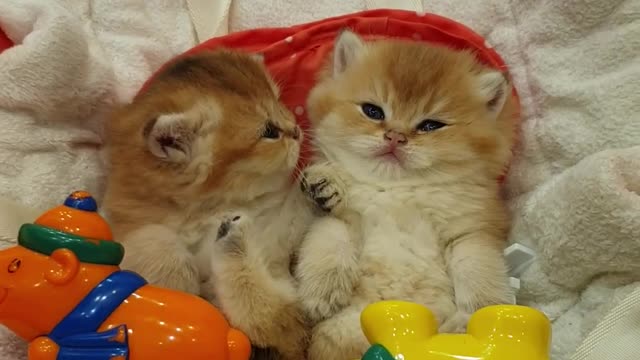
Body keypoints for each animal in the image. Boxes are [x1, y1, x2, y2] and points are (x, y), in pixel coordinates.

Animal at [103, 49, 312, 358]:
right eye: (269, 131)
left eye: (280, 102)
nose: (297, 129)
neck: (211, 210)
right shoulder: (129, 220)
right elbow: (154, 238)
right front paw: (176, 285)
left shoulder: (292, 321)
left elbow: (265, 313)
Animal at [298, 31, 516, 360]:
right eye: (372, 111)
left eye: (430, 125)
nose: (395, 137)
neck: (395, 191)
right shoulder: (336, 219)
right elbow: (329, 241)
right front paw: (321, 292)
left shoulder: (471, 230)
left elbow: (477, 268)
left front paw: (481, 314)